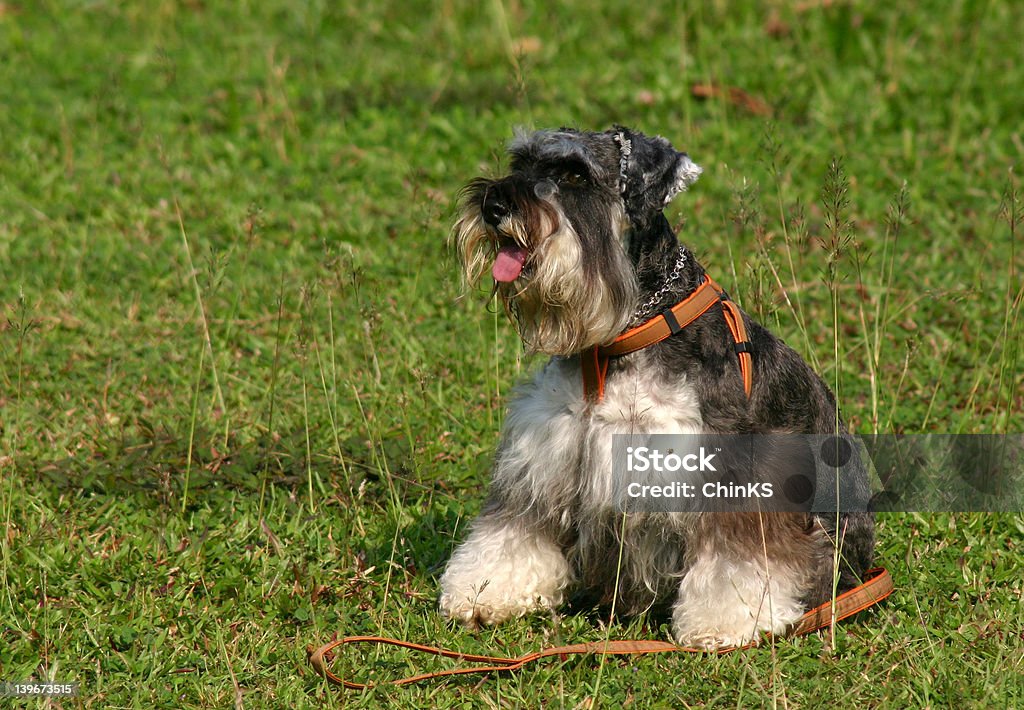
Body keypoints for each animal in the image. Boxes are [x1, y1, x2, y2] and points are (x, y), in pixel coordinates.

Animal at [436, 127, 876, 647]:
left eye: (575, 175)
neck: (623, 336)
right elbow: (513, 531)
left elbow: (737, 557)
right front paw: (485, 591)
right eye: (520, 164)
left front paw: (723, 622)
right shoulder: (543, 455)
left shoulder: (730, 470)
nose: (493, 205)